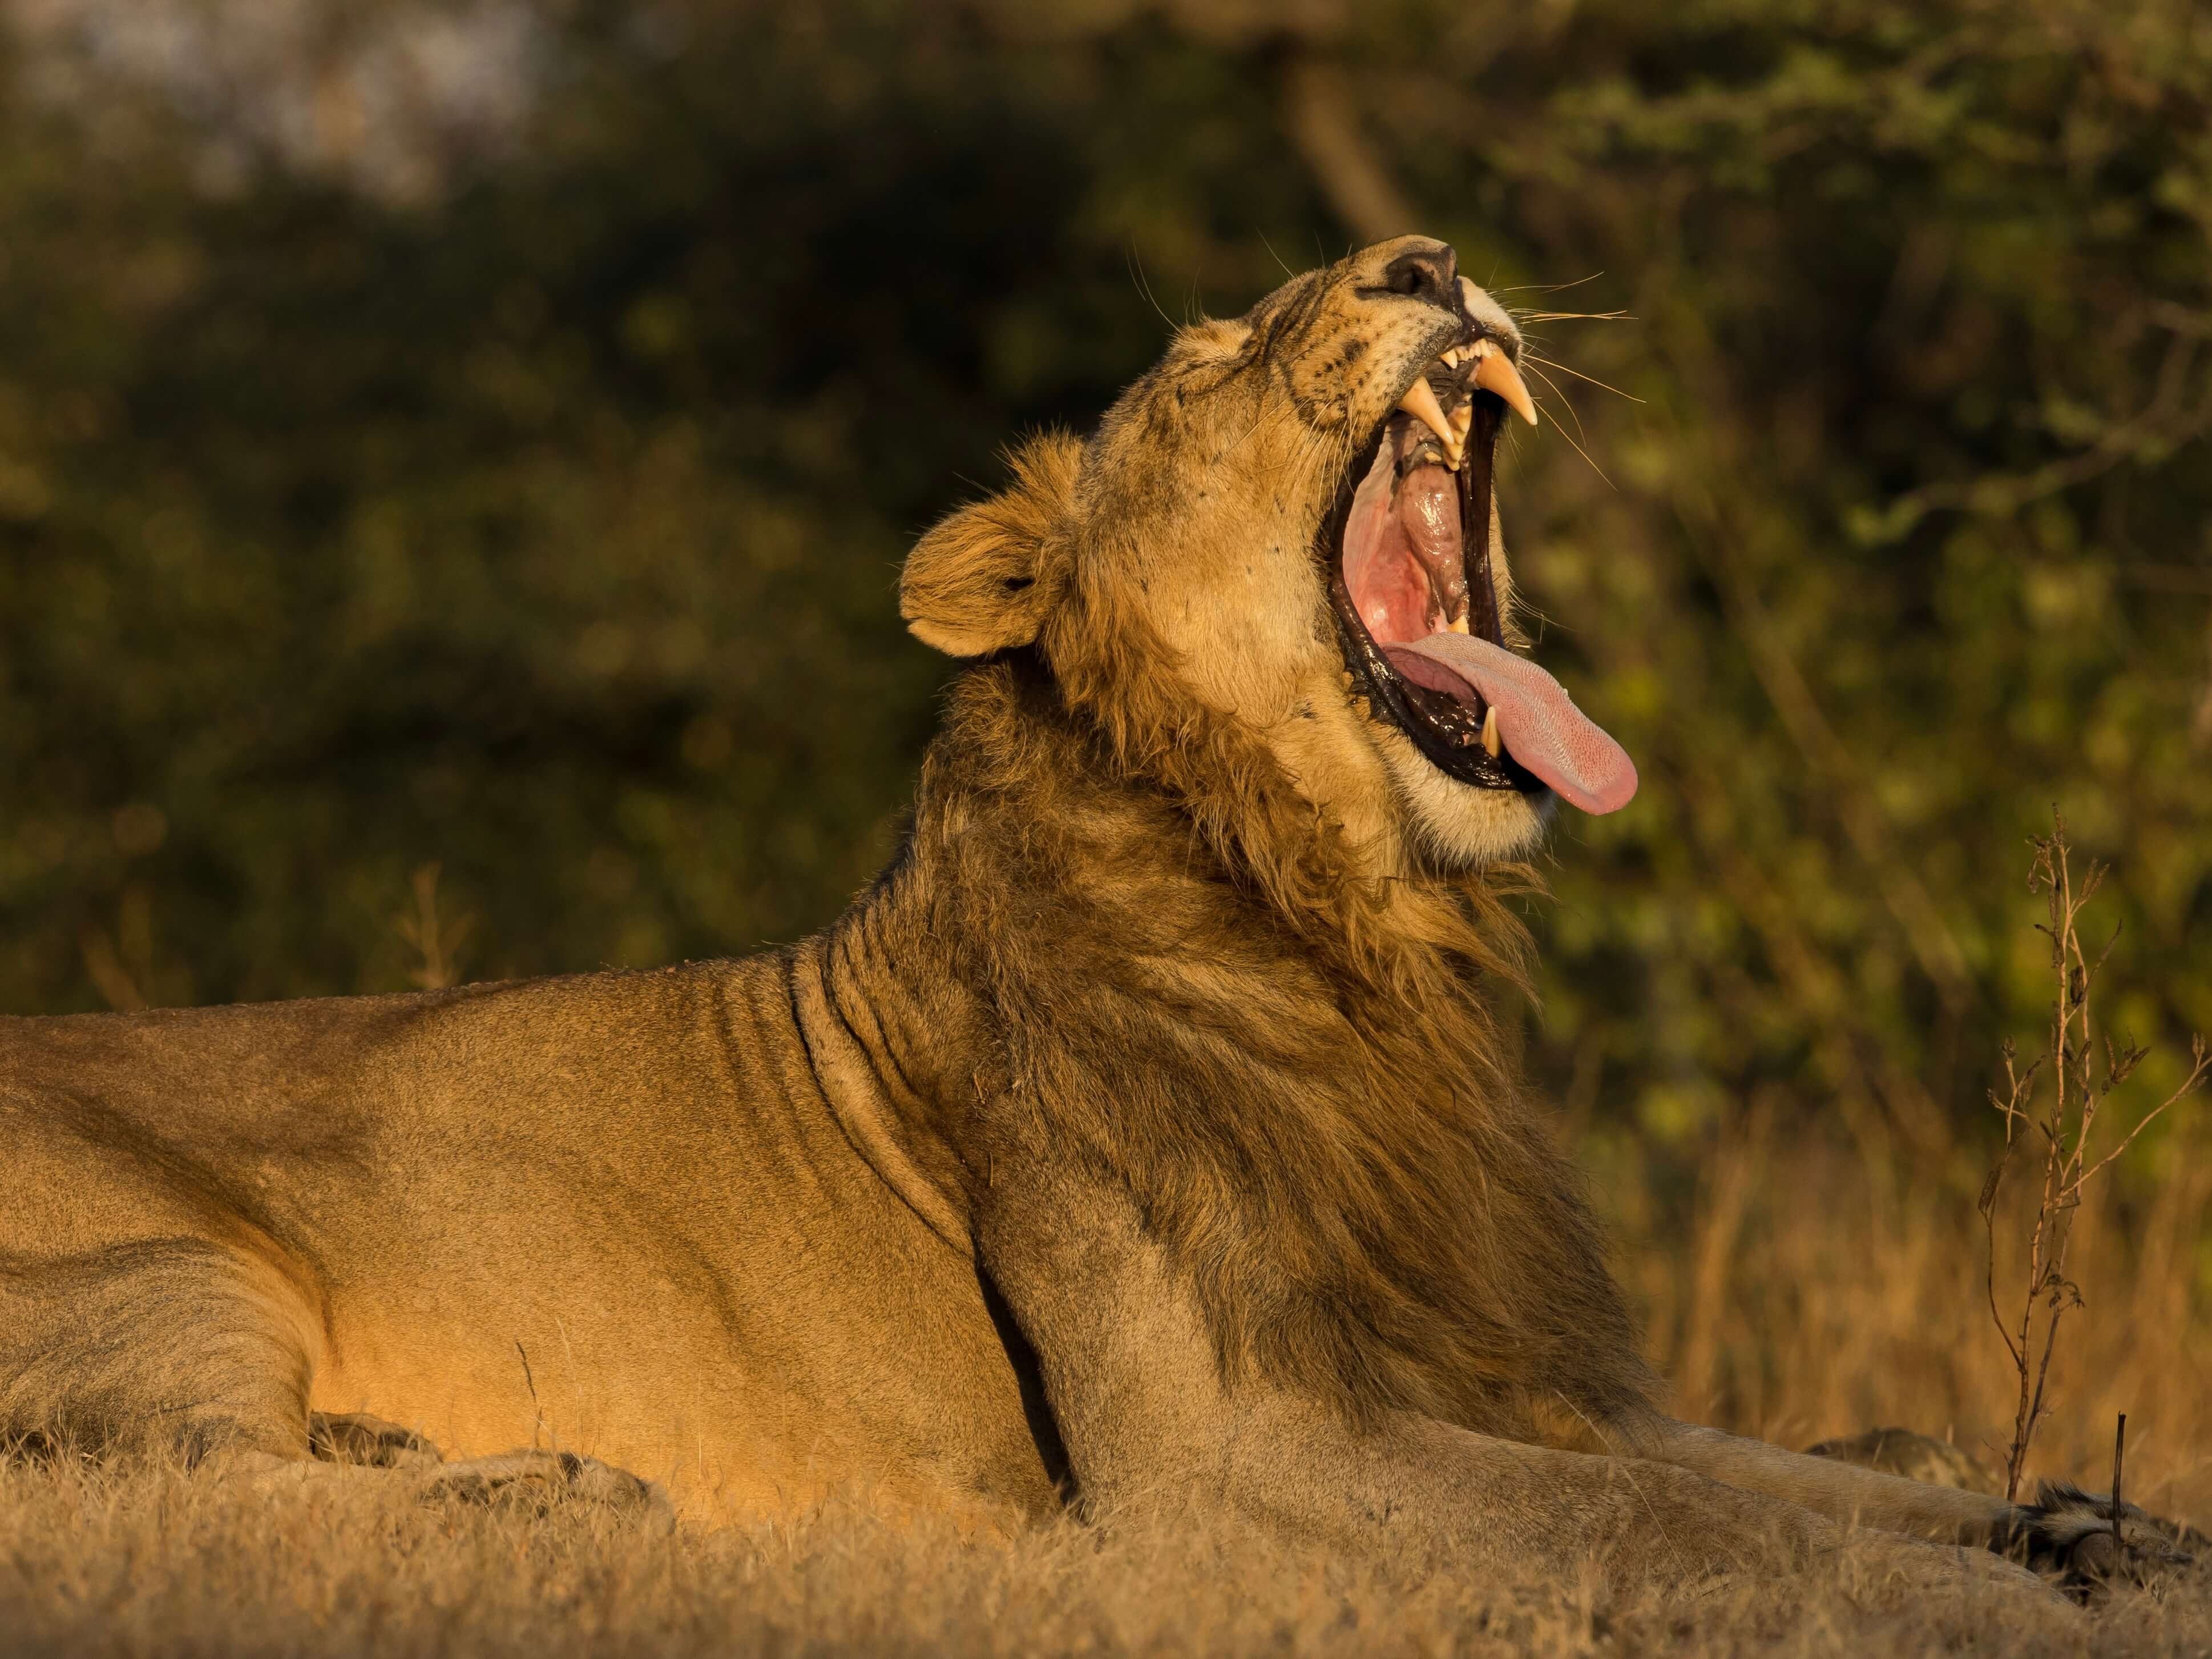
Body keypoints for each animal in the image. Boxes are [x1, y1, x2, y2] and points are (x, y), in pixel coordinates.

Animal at [0, 236, 2179, 1604]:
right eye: (1213, 359)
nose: (1426, 262)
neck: (1354, 939)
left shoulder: (1528, 1374)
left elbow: (1812, 1474)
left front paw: (2090, 1529)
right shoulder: (1219, 1468)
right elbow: (1702, 1538)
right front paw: (2008, 1604)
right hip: (180, 1273)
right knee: (154, 1489)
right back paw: (552, 1498)